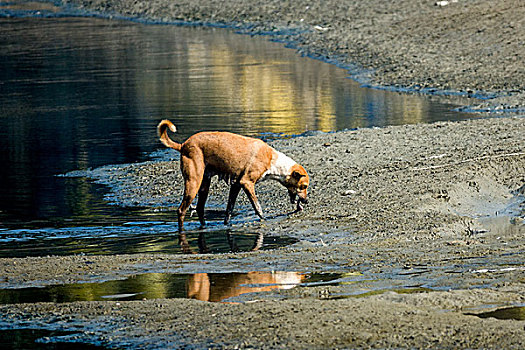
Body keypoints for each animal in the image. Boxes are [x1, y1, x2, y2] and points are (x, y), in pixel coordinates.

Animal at [158, 120, 310, 246]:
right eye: (303, 186)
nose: (306, 201)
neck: (274, 162)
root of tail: (183, 145)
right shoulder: (246, 183)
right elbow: (257, 207)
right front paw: (264, 219)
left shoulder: (236, 185)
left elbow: (229, 210)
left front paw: (226, 224)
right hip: (193, 182)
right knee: (181, 210)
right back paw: (182, 231)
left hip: (204, 184)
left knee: (200, 208)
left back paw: (204, 227)